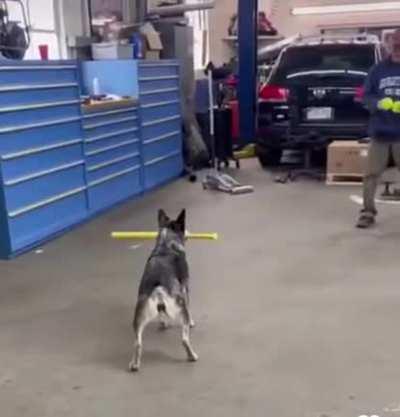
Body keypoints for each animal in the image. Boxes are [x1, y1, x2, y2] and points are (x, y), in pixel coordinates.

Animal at [129, 208, 198, 370]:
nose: (190, 232)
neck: (167, 243)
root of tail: (158, 286)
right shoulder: (185, 287)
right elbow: (190, 305)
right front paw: (193, 322)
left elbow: (161, 314)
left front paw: (163, 323)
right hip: (181, 308)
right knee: (184, 339)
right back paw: (192, 356)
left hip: (139, 315)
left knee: (137, 343)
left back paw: (134, 364)